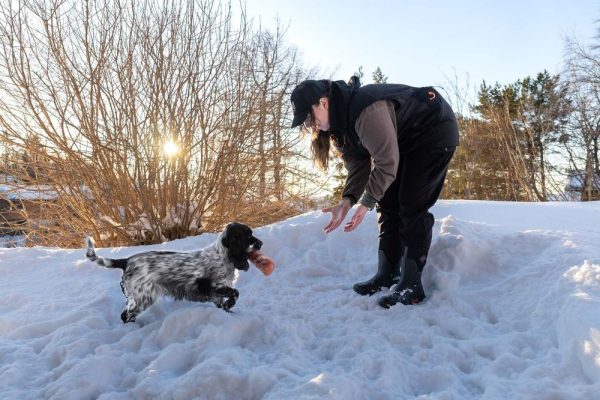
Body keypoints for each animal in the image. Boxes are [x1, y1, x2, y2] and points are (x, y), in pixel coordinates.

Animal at [85, 223, 262, 324]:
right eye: (248, 236)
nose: (261, 243)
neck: (223, 255)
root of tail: (126, 261)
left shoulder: (215, 294)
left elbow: (223, 304)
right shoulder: (215, 286)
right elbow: (235, 293)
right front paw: (230, 305)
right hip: (143, 297)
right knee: (126, 316)